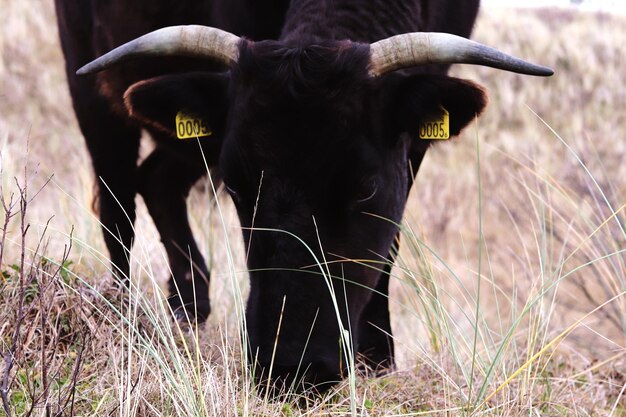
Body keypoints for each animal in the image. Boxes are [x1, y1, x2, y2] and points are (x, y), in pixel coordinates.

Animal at [56, 0, 548, 390]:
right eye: (236, 183)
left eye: (365, 187)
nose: (291, 369)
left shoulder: (414, 141)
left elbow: (389, 245)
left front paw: (378, 360)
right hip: (90, 89)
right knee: (117, 208)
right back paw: (122, 314)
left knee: (156, 180)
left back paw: (189, 306)